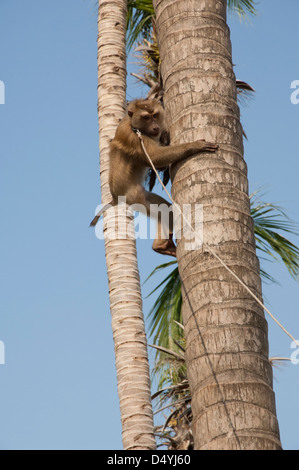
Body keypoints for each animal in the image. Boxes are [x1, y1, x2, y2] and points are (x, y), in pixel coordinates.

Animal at [90, 97, 219, 255]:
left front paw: (164, 137)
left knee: (166, 208)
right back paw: (161, 244)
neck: (133, 125)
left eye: (155, 115)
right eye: (146, 117)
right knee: (161, 209)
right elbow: (155, 157)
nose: (156, 127)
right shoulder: (133, 137)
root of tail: (115, 197)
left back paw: (160, 245)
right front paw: (194, 146)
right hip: (134, 196)